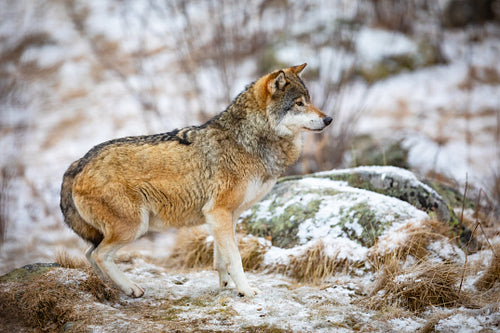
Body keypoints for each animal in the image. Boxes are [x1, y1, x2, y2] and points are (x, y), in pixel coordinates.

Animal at [59, 63, 332, 296]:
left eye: (309, 101)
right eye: (299, 103)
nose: (328, 119)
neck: (248, 140)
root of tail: (77, 164)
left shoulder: (224, 216)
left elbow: (221, 258)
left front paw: (226, 285)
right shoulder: (219, 211)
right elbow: (236, 258)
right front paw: (246, 290)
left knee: (89, 253)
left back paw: (107, 287)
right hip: (134, 227)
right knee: (100, 255)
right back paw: (131, 288)